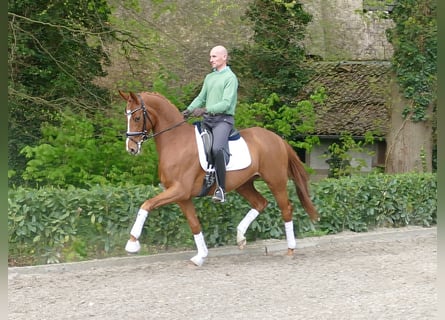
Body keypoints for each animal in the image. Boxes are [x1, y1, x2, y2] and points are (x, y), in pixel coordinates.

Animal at [119, 90, 318, 264]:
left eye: (137, 118)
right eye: (126, 116)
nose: (131, 148)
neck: (176, 142)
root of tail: (277, 138)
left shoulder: (179, 190)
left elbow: (146, 204)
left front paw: (132, 243)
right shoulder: (182, 196)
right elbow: (194, 224)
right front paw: (201, 256)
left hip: (275, 181)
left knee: (286, 209)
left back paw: (290, 248)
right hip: (244, 184)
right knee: (261, 203)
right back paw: (240, 237)